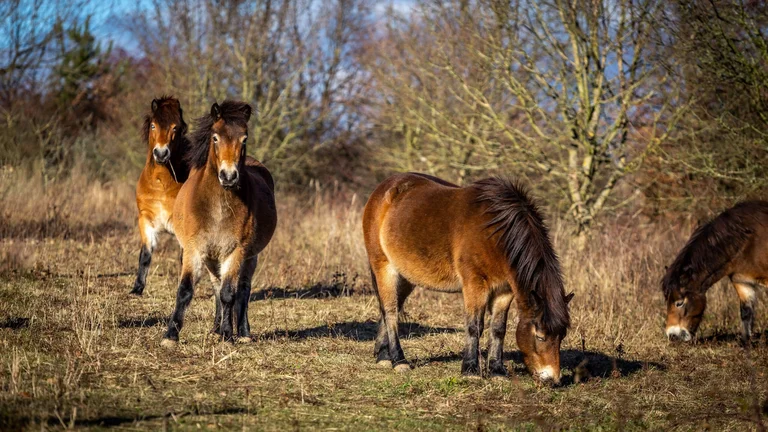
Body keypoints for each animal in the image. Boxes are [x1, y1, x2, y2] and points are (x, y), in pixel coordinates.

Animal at [130, 96, 190, 296]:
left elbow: (183, 259)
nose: (161, 153)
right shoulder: (145, 219)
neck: (161, 185)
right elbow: (145, 255)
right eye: (153, 125)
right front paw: (137, 288)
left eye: (175, 127)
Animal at [160, 101, 276, 346]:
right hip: (211, 258)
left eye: (244, 139)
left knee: (242, 290)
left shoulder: (235, 252)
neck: (218, 208)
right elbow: (185, 290)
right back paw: (215, 329)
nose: (229, 176)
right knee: (216, 286)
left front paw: (227, 334)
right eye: (215, 138)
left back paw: (242, 333)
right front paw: (171, 335)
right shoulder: (194, 250)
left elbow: (229, 294)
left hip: (248, 257)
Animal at [362, 173, 573, 384]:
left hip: (406, 277)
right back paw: (399, 360)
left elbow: (498, 328)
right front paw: (470, 369)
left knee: (391, 308)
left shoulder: (504, 290)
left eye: (561, 336)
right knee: (390, 312)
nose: (553, 379)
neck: (495, 234)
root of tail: (385, 188)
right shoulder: (475, 284)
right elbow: (474, 326)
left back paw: (383, 356)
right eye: (540, 336)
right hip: (384, 267)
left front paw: (497, 370)